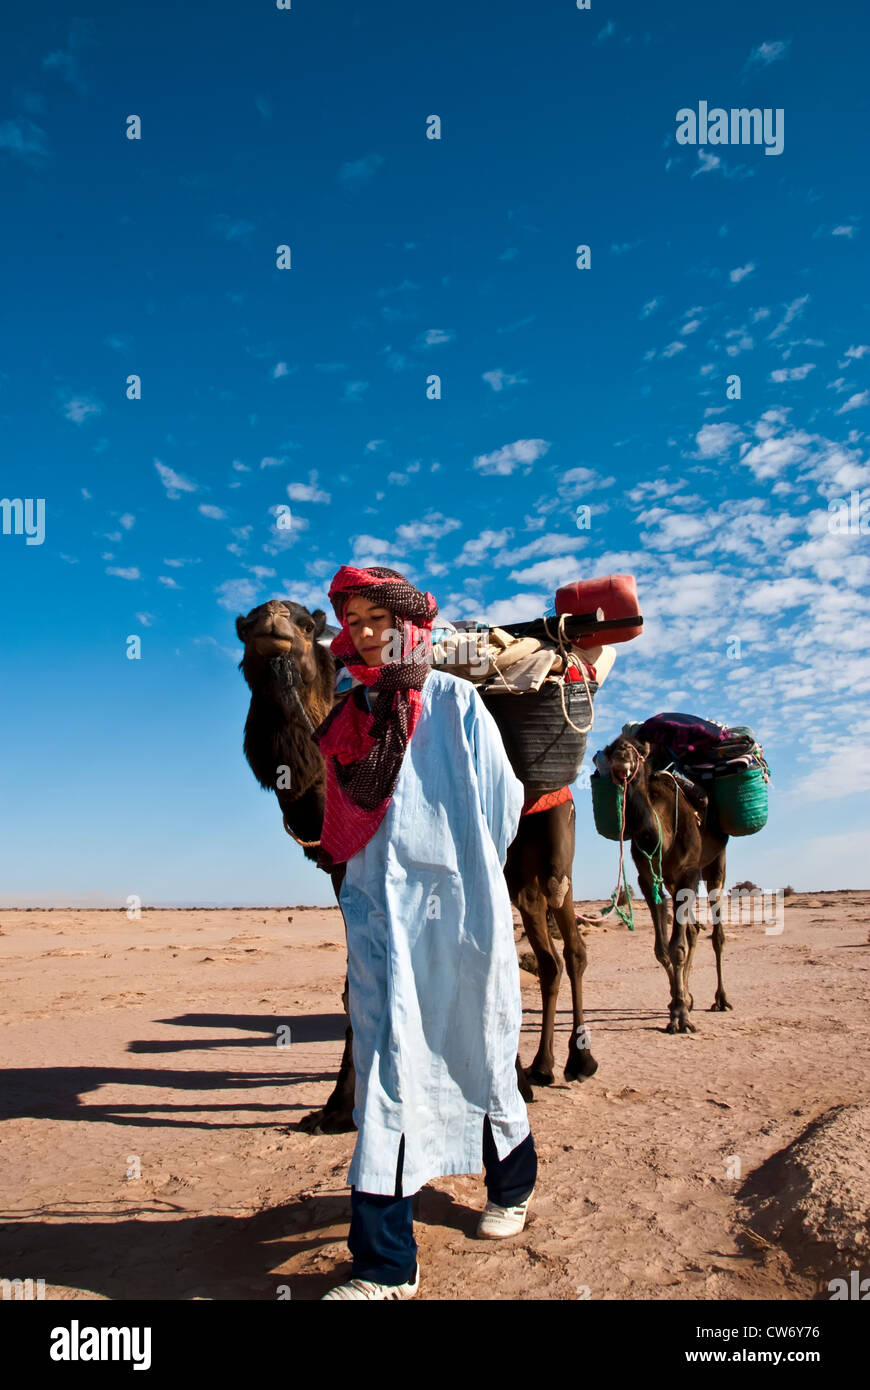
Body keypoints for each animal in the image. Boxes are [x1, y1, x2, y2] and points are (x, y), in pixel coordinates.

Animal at [602, 734, 730, 1034]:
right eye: (611, 748)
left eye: (639, 748)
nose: (622, 753)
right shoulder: (648, 879)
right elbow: (662, 950)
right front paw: (678, 1003)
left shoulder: (689, 873)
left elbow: (677, 948)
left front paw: (681, 1015)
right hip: (673, 882)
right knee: (693, 930)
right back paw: (690, 994)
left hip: (715, 863)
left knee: (716, 932)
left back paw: (720, 1000)